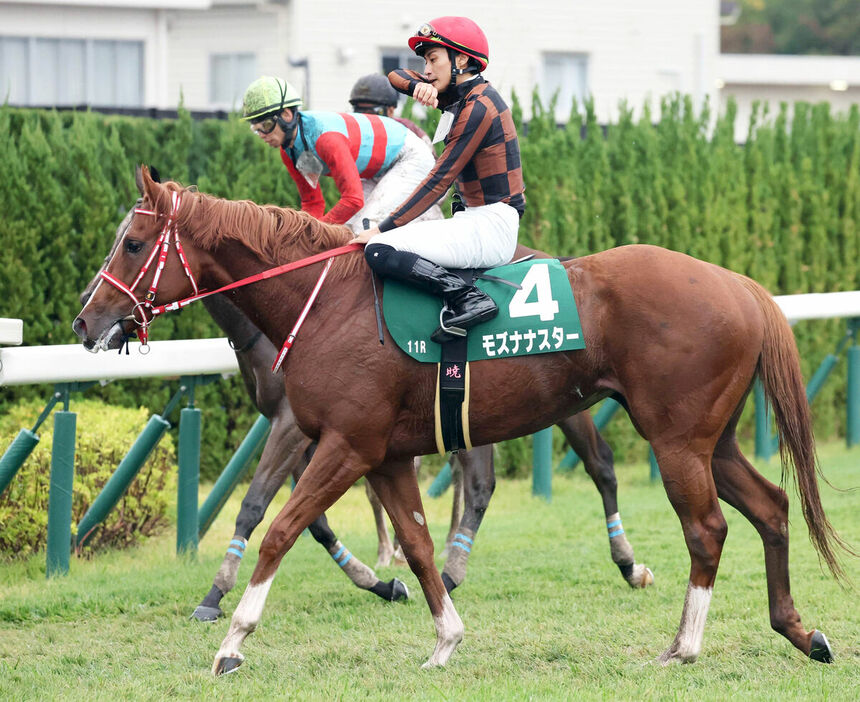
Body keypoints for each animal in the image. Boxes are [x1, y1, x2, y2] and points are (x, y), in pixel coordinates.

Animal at [72, 170, 848, 676]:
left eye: (133, 244)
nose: (85, 322)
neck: (324, 300)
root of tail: (740, 285)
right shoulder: (383, 455)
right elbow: (415, 546)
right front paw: (445, 637)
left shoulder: (343, 445)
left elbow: (280, 530)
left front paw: (232, 641)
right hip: (711, 439)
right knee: (771, 508)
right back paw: (799, 631)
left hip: (677, 440)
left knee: (707, 529)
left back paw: (683, 644)